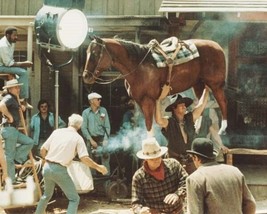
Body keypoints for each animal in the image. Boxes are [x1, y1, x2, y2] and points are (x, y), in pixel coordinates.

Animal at [83, 36, 228, 135]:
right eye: (87, 53)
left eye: (95, 54)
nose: (86, 76)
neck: (138, 65)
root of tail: (218, 47)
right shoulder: (139, 102)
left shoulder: (148, 101)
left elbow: (149, 127)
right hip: (199, 85)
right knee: (202, 103)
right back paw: (196, 127)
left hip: (216, 85)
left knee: (222, 102)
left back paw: (222, 128)